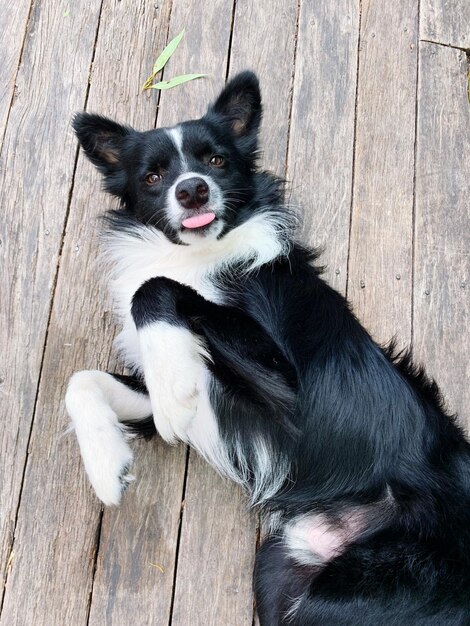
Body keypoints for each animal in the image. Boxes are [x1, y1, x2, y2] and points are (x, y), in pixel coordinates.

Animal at [65, 72, 470, 620]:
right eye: (153, 175)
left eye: (216, 160)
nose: (192, 189)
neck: (199, 256)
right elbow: (82, 382)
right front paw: (108, 464)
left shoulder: (285, 386)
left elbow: (155, 287)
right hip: (280, 568)